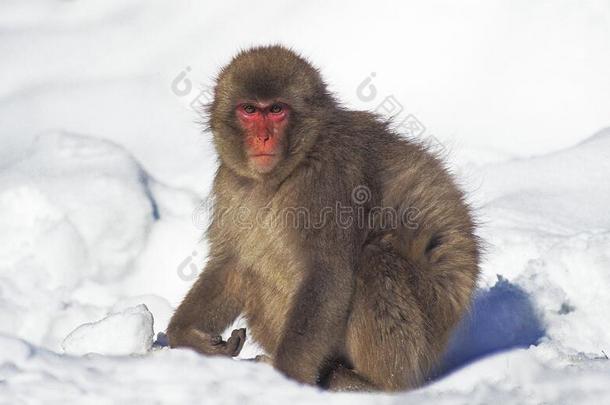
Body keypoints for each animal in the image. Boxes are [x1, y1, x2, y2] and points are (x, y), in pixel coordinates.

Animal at [167, 45, 480, 392]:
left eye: (276, 110)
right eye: (249, 110)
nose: (263, 138)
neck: (286, 171)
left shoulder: (327, 181)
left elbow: (327, 273)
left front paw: (286, 378)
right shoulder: (231, 184)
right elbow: (231, 264)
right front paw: (185, 336)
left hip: (423, 333)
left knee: (375, 259)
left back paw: (371, 384)